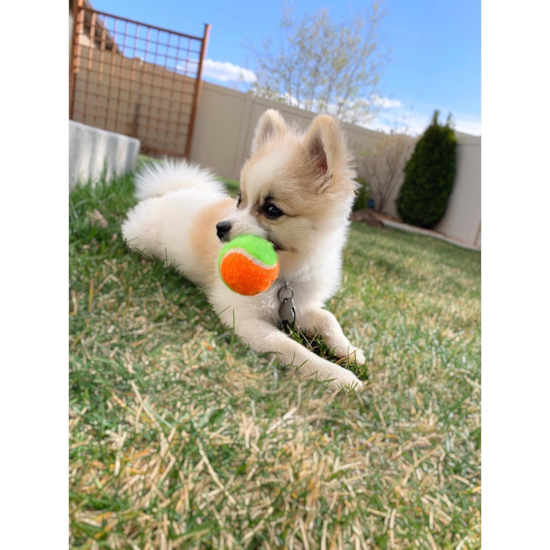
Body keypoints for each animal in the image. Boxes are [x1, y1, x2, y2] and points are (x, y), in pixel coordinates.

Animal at [123, 111, 368, 388]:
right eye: (240, 199)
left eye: (271, 210)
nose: (220, 228)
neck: (284, 274)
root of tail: (168, 194)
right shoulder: (244, 317)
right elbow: (292, 348)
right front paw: (338, 376)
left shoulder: (299, 308)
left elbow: (327, 318)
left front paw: (349, 350)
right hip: (140, 240)